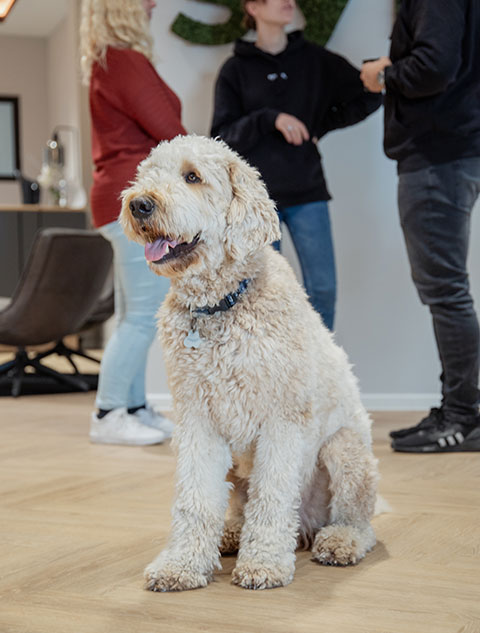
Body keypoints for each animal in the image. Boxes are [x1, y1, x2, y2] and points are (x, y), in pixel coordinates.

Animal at [120, 135, 378, 592]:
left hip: (346, 452)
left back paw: (339, 540)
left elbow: (272, 497)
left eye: (192, 176)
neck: (220, 306)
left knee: (358, 520)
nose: (139, 204)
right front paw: (181, 564)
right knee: (240, 508)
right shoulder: (197, 422)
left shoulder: (282, 422)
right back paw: (230, 534)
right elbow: (194, 499)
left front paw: (264, 563)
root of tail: (307, 527)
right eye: (146, 174)